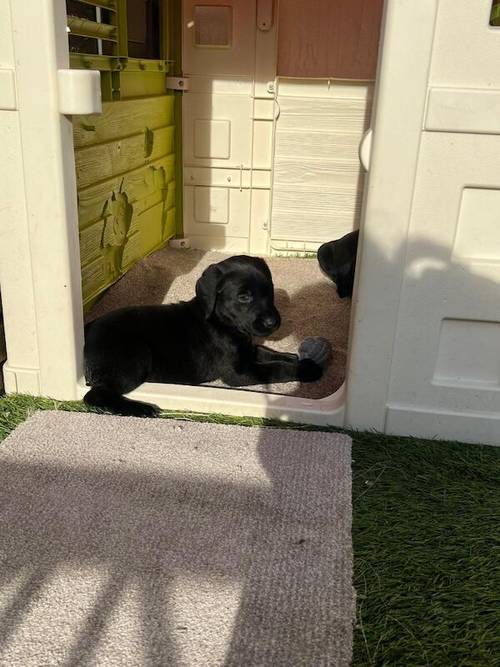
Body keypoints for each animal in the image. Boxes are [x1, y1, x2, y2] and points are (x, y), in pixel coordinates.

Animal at [84, 256, 330, 418]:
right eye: (243, 296)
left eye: (269, 290)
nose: (273, 322)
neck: (223, 322)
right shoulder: (239, 374)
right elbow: (276, 369)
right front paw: (307, 369)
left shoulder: (247, 351)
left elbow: (269, 353)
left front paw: (297, 357)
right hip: (136, 355)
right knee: (94, 396)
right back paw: (141, 409)